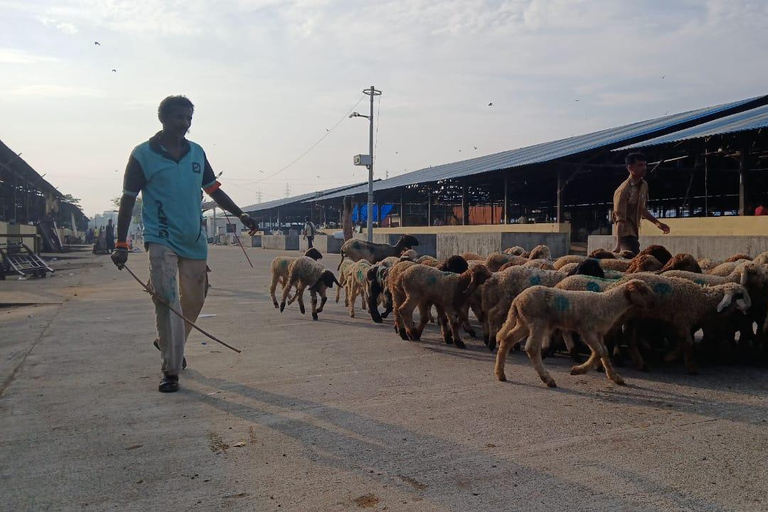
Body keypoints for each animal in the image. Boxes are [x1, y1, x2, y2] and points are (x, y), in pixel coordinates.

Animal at [492, 280, 656, 388]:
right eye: (644, 291)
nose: (654, 303)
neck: (608, 303)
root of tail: (516, 300)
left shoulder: (599, 333)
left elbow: (604, 353)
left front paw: (615, 377)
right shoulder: (586, 329)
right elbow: (599, 351)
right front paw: (578, 370)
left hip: (524, 323)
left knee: (507, 340)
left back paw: (500, 374)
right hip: (537, 321)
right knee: (532, 348)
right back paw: (548, 379)